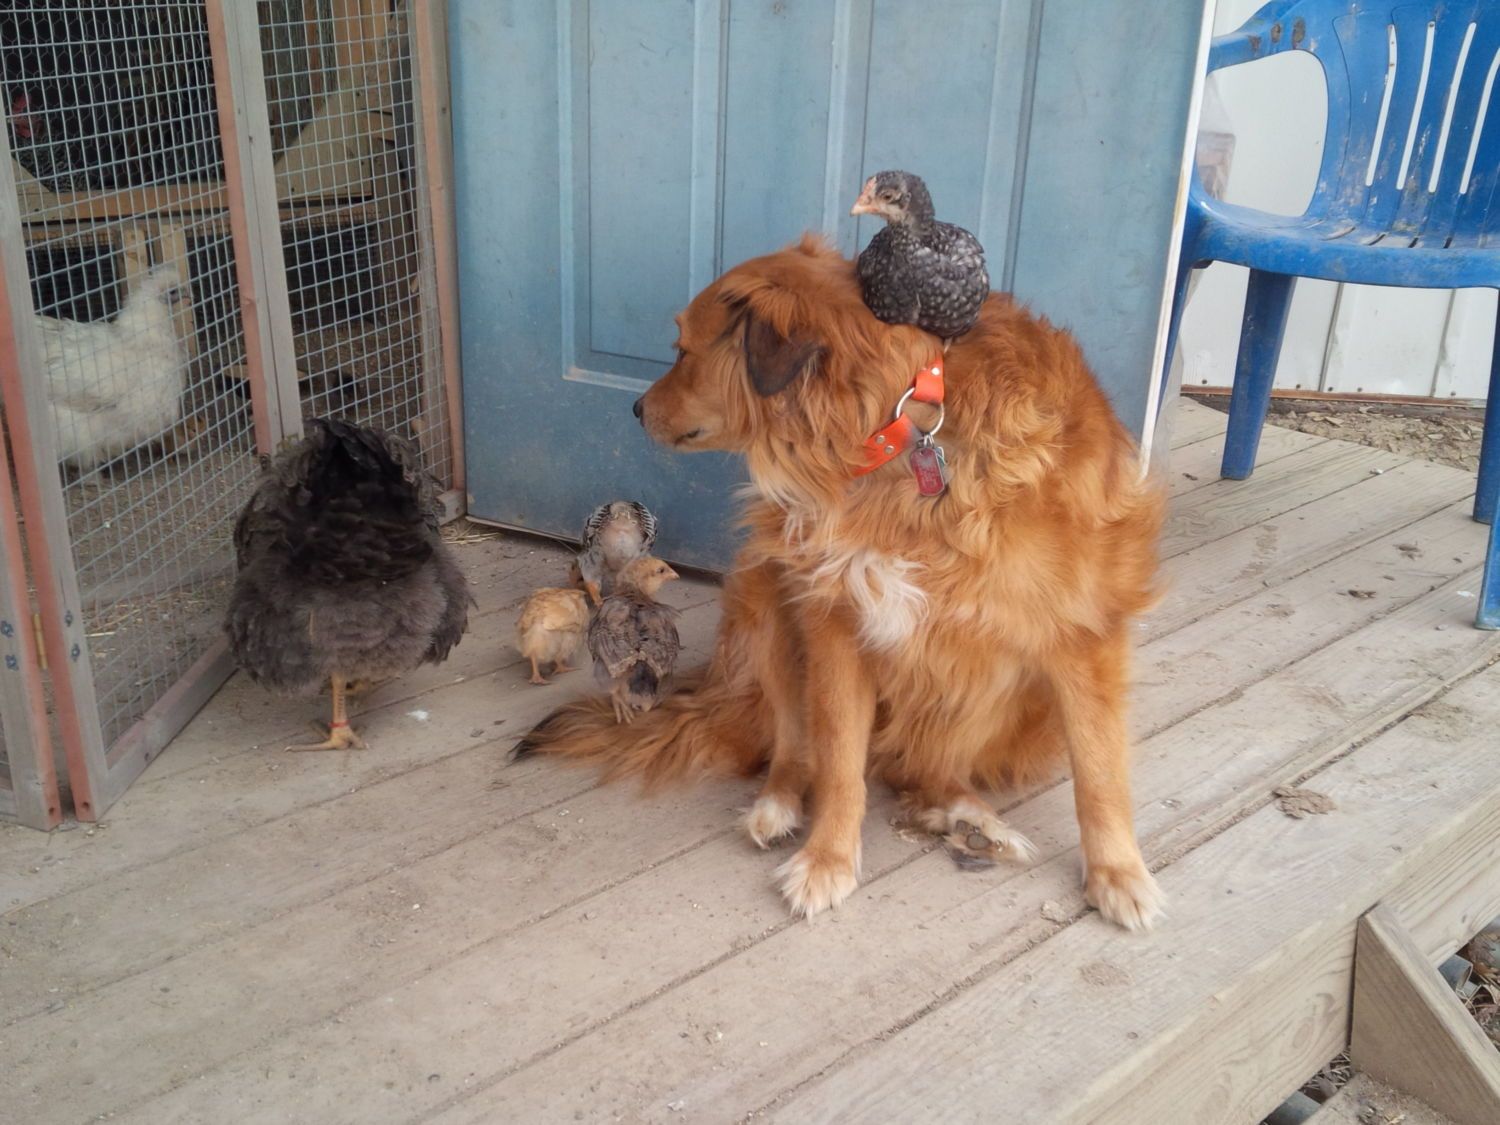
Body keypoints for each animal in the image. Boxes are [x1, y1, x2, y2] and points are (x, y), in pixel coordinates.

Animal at [525, 234, 1167, 931]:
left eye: (684, 350)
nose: (636, 407)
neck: (904, 425)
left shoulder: (1084, 634)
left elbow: (1100, 770)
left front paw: (1119, 873)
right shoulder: (836, 620)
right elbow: (836, 760)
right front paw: (827, 859)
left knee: (927, 768)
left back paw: (967, 816)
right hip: (765, 595)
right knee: (798, 748)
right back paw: (778, 805)